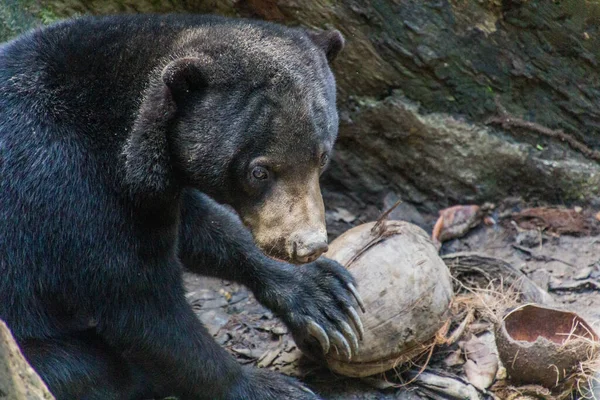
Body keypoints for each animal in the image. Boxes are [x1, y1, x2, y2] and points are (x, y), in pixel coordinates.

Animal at [0, 12, 364, 400]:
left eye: (321, 157)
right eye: (259, 171)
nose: (308, 245)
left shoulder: (150, 192)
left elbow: (198, 224)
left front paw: (325, 294)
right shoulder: (73, 195)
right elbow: (143, 310)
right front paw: (268, 386)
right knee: (84, 366)